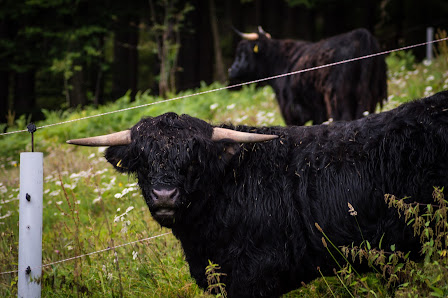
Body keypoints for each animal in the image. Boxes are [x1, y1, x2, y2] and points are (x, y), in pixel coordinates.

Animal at [229, 26, 386, 126]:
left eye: (243, 53)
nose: (231, 69)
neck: (279, 61)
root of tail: (361, 34)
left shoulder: (291, 110)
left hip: (337, 98)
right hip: (370, 96)